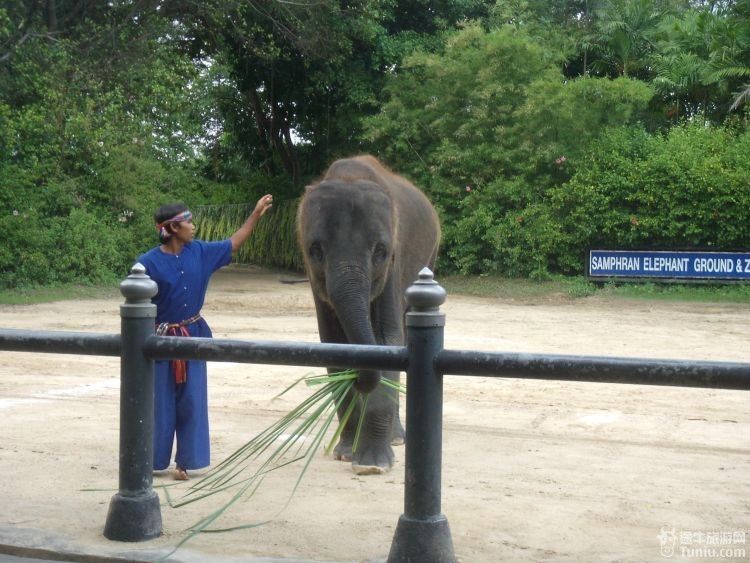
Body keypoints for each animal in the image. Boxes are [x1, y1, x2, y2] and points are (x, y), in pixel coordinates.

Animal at [298, 155, 444, 476]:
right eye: (315, 251)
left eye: (380, 251)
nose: (361, 381)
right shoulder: (316, 281)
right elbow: (333, 346)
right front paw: (345, 453)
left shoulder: (394, 264)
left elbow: (388, 342)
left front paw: (372, 465)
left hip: (430, 256)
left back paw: (397, 438)